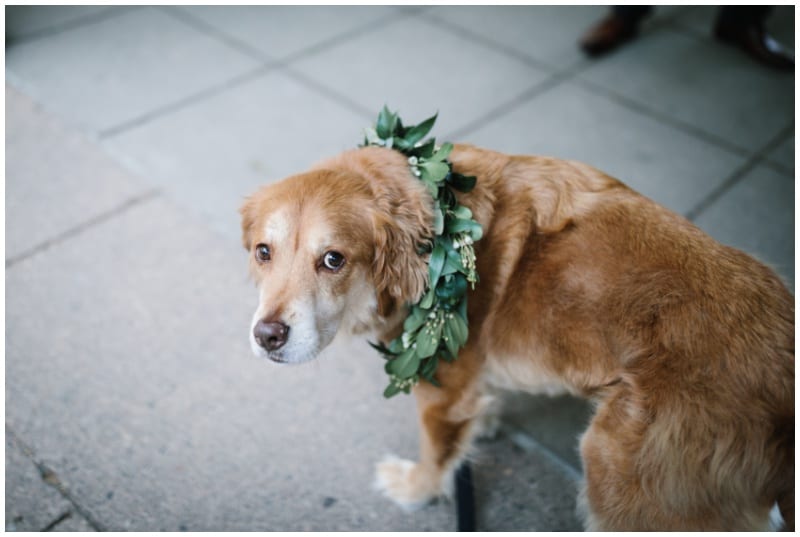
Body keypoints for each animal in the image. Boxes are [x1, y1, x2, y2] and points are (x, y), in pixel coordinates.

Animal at [238, 143, 792, 532]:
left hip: (619, 476)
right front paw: (486, 421)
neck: (437, 231)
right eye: (263, 252)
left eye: (334, 260)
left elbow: (436, 454)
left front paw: (416, 490)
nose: (268, 336)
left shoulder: (440, 391)